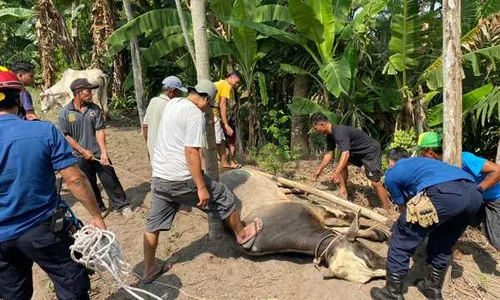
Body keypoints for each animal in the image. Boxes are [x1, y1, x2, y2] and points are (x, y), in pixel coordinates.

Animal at [221, 169, 388, 284]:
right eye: (368, 257)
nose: (388, 269)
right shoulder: (315, 211)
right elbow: (347, 219)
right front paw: (378, 230)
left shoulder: (315, 211)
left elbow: (347, 218)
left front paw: (380, 230)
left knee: (281, 185)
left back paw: (298, 188)